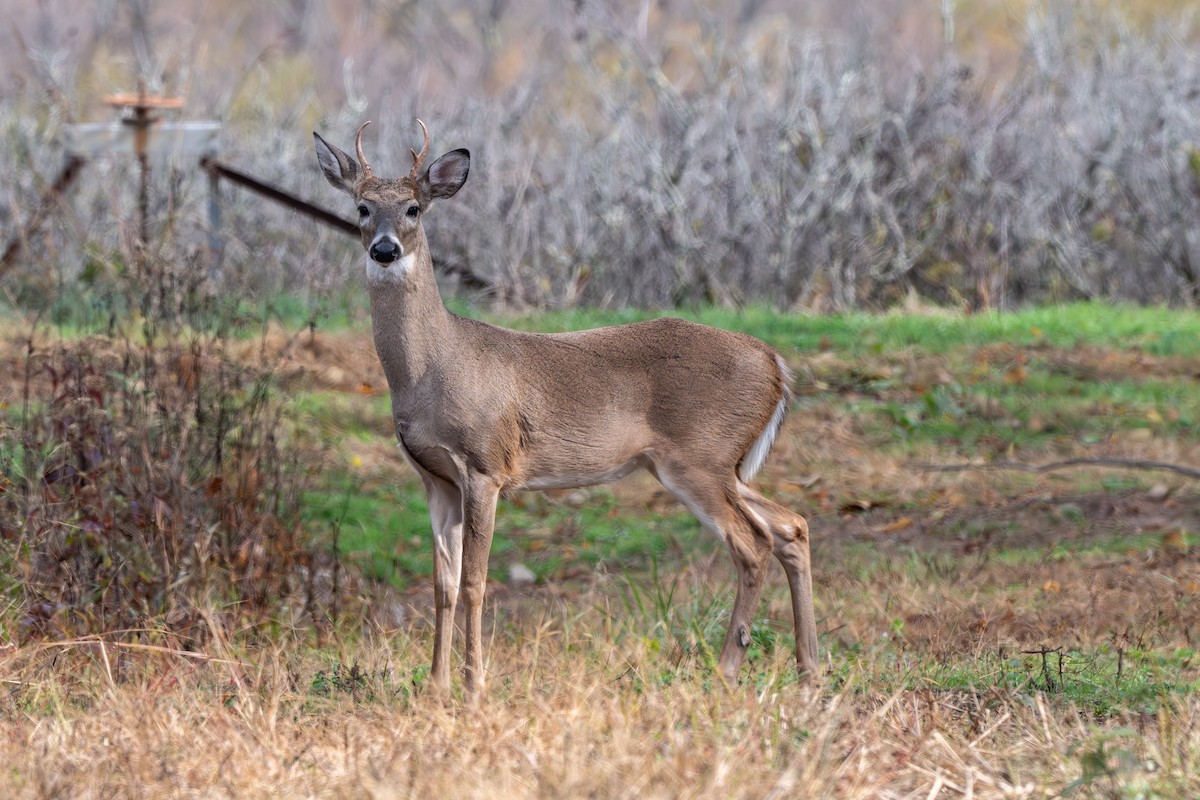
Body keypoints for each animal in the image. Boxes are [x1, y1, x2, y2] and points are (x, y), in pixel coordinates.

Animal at [313, 121, 819, 697]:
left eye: (415, 208)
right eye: (362, 207)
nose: (385, 249)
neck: (433, 369)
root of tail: (776, 365)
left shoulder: (484, 465)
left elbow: (475, 583)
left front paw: (474, 685)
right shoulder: (435, 478)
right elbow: (443, 584)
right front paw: (438, 687)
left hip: (699, 458)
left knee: (752, 543)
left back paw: (727, 668)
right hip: (721, 465)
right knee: (791, 526)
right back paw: (808, 668)